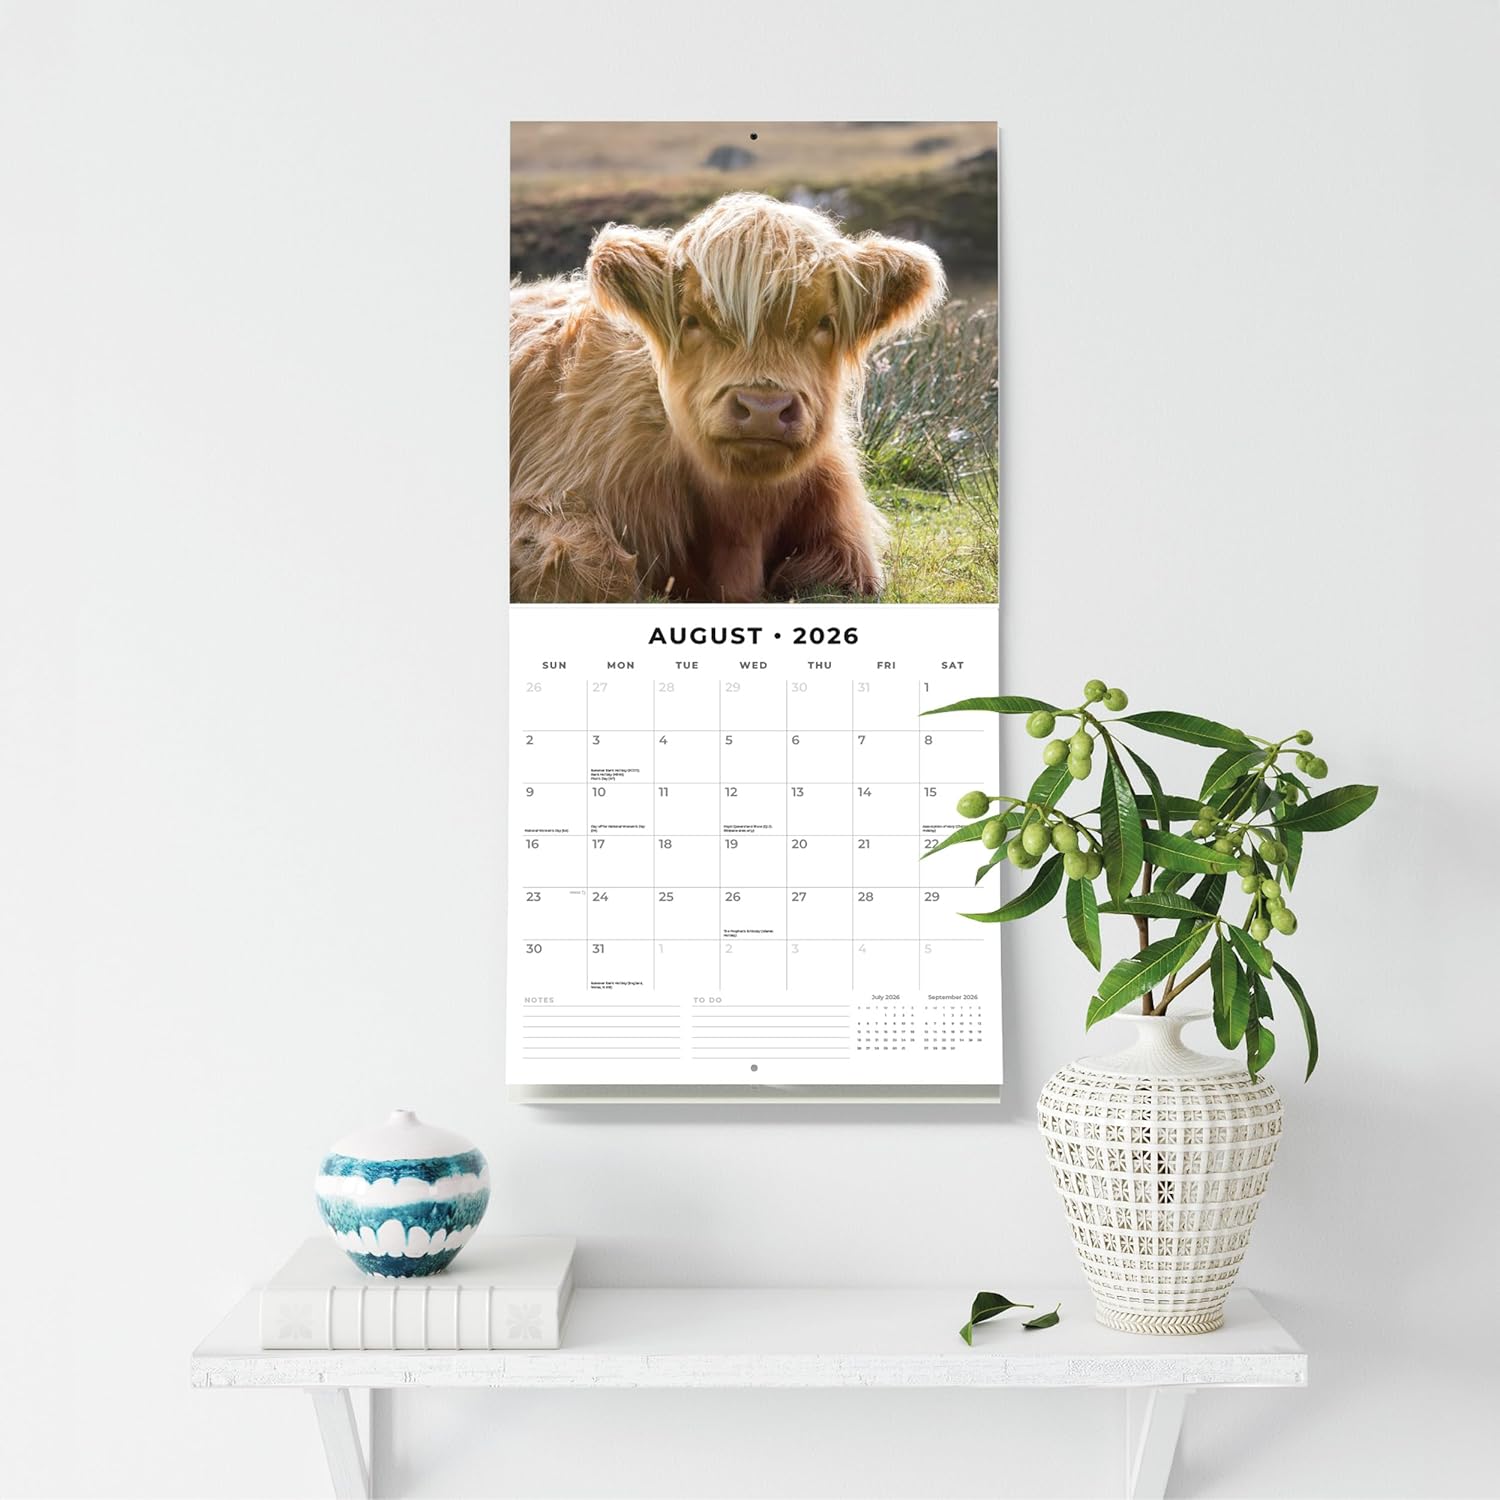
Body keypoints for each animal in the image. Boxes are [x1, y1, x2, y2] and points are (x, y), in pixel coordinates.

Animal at [509, 192, 946, 603]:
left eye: (825, 322)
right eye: (692, 321)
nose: (764, 409)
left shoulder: (845, 542)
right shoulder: (553, 496)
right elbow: (588, 569)